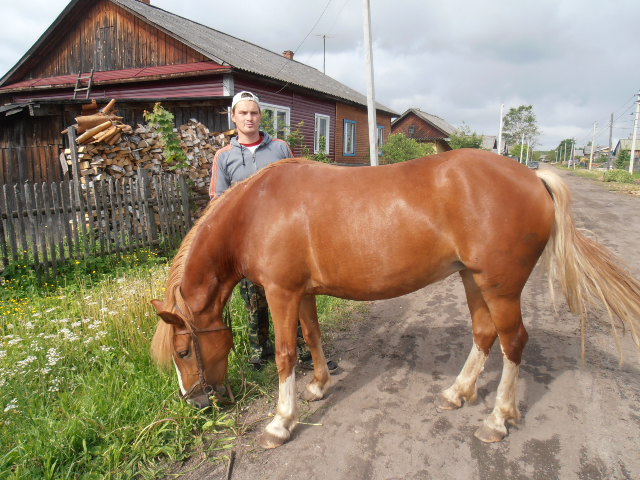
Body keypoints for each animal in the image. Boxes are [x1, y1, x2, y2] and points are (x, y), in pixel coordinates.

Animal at [150, 149, 640, 448]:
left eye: (183, 351)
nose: (194, 403)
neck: (257, 209)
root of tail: (533, 176)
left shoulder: (281, 292)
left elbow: (287, 354)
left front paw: (279, 422)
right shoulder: (301, 292)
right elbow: (313, 335)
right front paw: (319, 386)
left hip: (500, 287)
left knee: (513, 342)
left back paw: (498, 419)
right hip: (472, 280)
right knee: (484, 334)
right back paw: (457, 393)